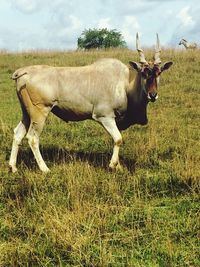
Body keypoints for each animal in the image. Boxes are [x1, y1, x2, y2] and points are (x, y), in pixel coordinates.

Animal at [8, 33, 173, 174]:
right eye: (144, 73)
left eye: (159, 72)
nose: (153, 95)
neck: (125, 82)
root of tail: (23, 72)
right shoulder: (104, 117)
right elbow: (118, 139)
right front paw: (113, 165)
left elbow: (117, 139)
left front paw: (118, 166)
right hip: (40, 113)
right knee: (32, 138)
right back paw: (45, 169)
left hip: (27, 113)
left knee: (18, 134)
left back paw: (13, 167)